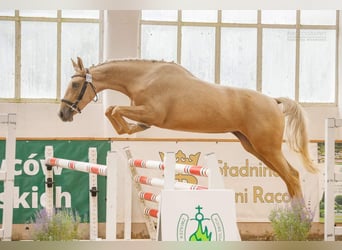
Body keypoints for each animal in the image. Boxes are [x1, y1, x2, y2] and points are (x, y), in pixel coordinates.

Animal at [58, 57, 318, 201]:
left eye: (75, 84)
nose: (62, 114)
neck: (144, 78)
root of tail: (274, 101)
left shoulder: (152, 113)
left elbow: (113, 110)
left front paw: (125, 128)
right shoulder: (145, 115)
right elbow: (114, 112)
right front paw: (128, 129)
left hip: (267, 148)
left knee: (293, 176)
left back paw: (300, 223)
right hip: (254, 147)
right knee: (288, 177)